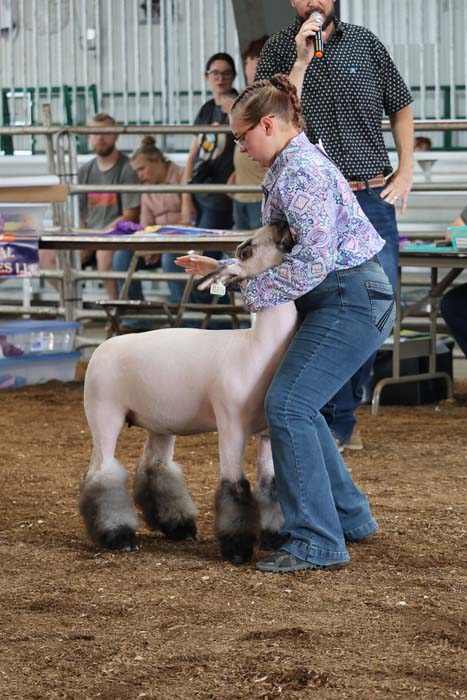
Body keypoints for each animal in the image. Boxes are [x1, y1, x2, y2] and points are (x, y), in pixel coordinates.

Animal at [80, 221, 297, 564]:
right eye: (244, 251)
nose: (280, 224)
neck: (255, 347)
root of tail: (101, 348)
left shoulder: (266, 432)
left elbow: (270, 486)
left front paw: (274, 538)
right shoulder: (231, 424)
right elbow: (236, 486)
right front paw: (237, 549)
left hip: (159, 421)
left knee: (154, 469)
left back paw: (179, 528)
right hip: (104, 414)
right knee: (102, 473)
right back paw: (120, 537)